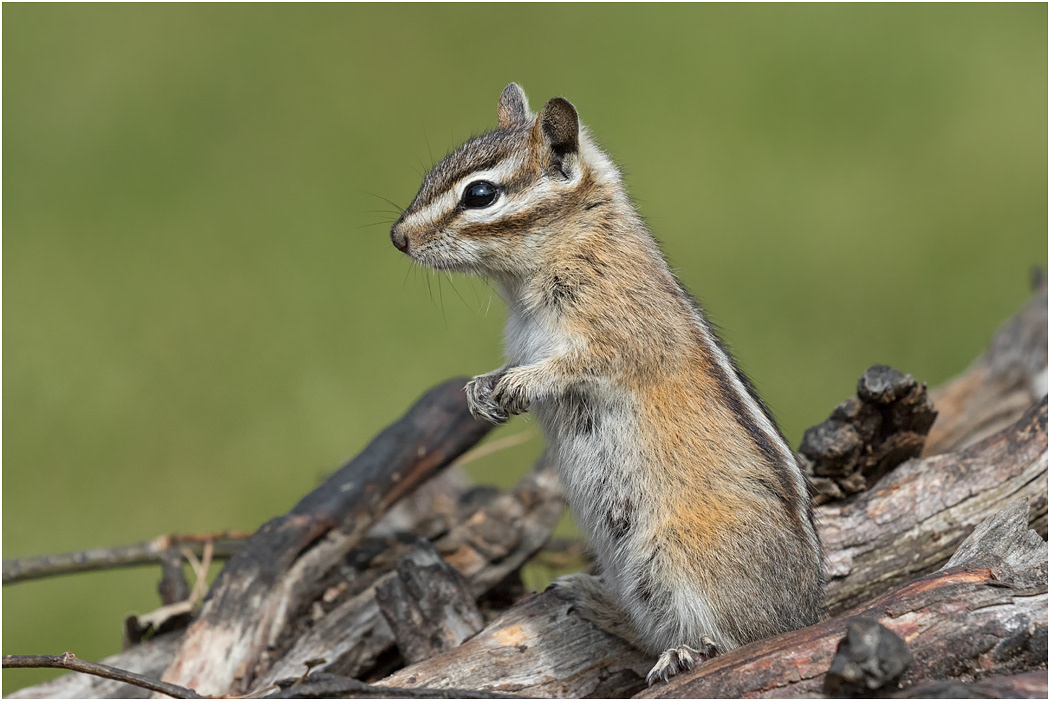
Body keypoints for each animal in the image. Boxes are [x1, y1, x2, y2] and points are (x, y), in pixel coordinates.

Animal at [390, 83, 825, 685]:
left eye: (480, 194)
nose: (397, 237)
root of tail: (804, 615)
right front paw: (483, 390)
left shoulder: (623, 331)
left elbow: (583, 364)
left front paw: (519, 385)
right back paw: (590, 599)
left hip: (674, 553)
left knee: (734, 638)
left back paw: (687, 651)